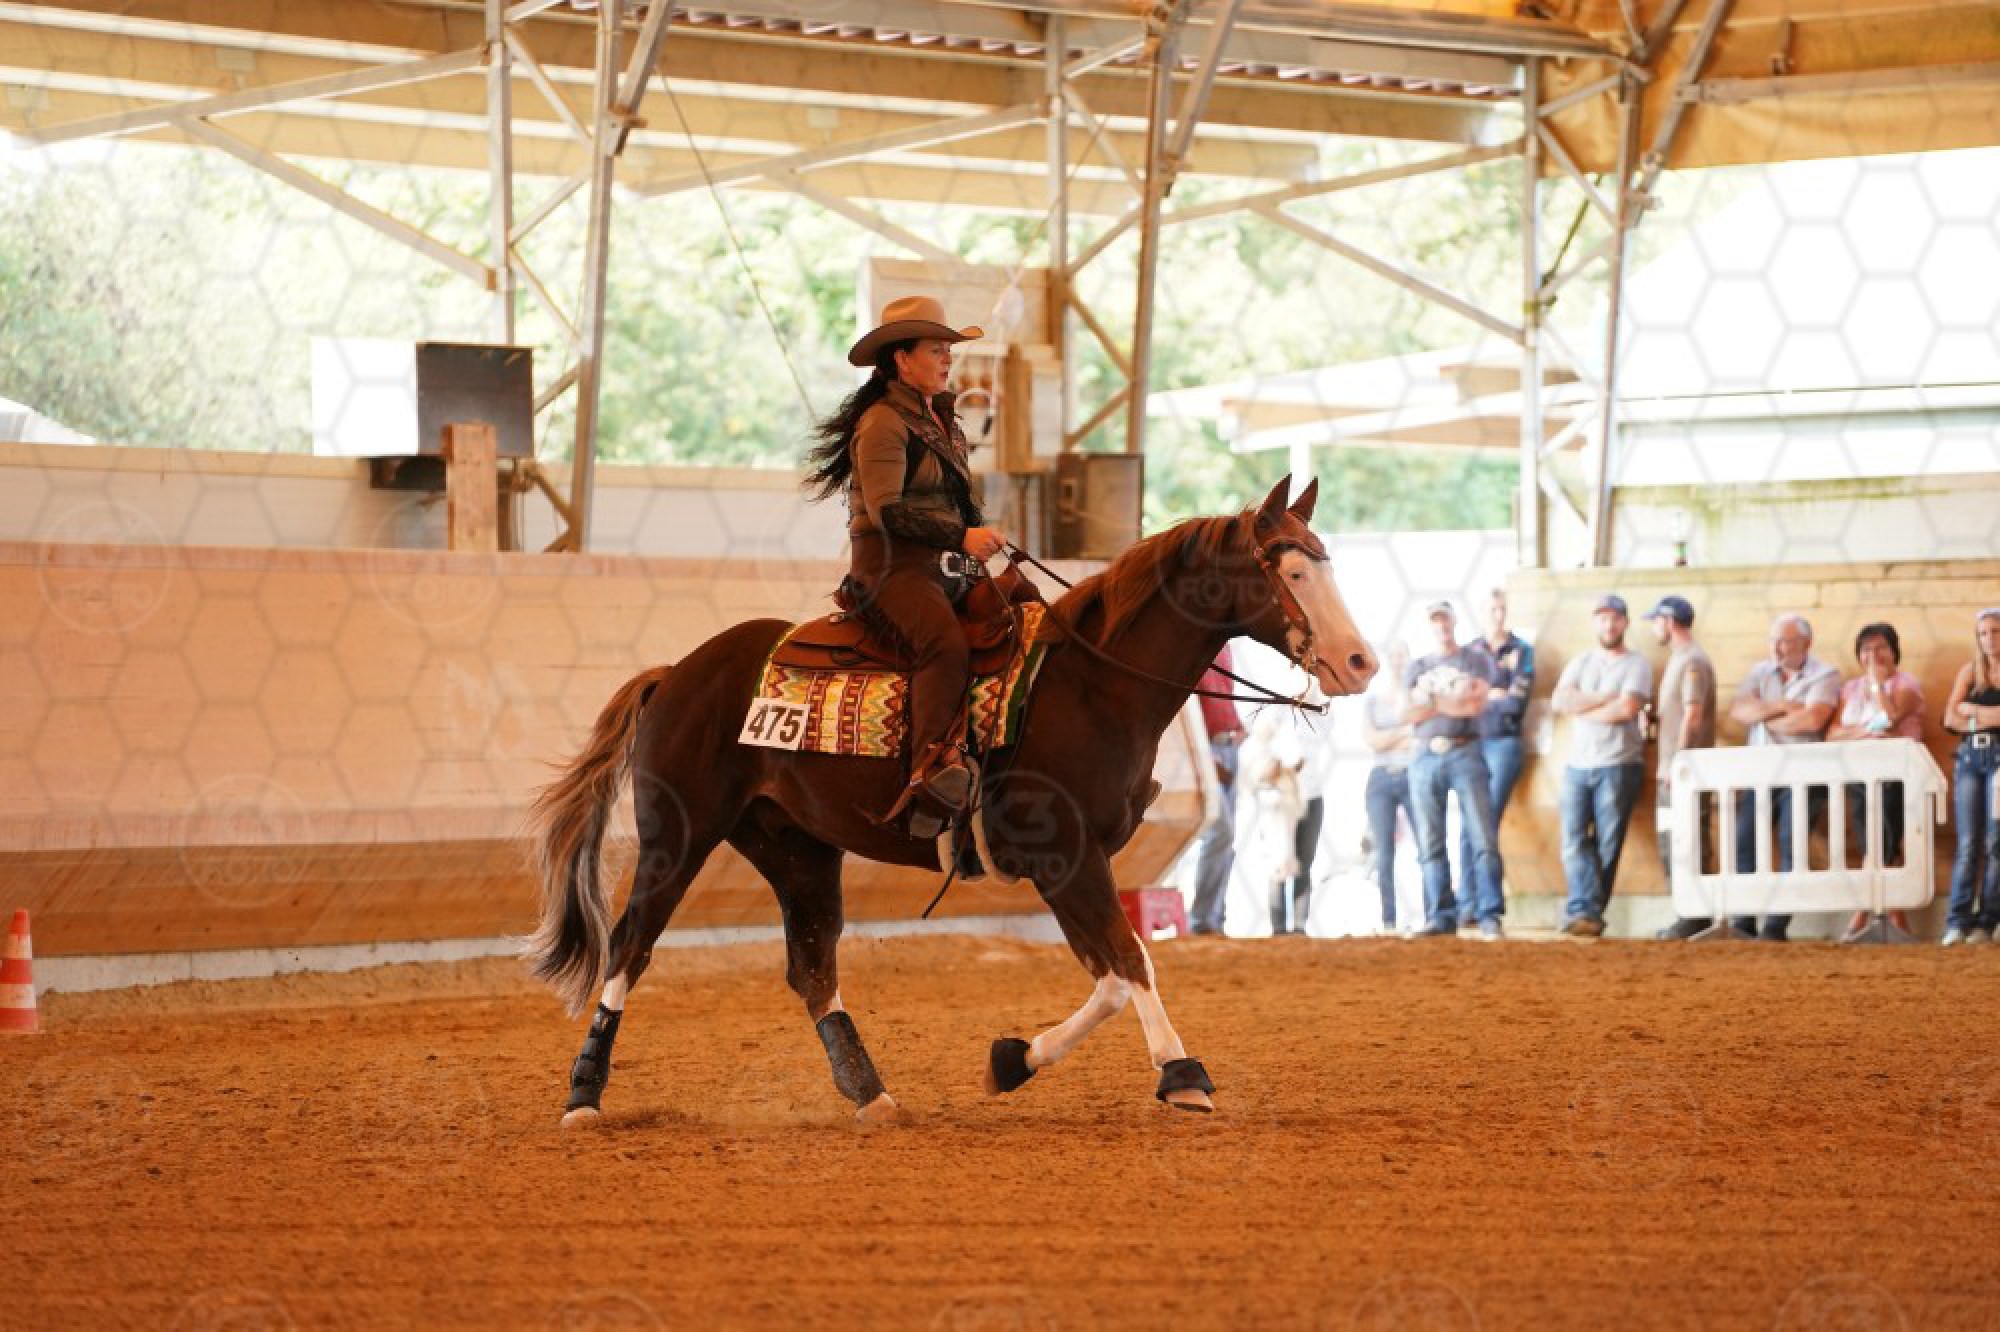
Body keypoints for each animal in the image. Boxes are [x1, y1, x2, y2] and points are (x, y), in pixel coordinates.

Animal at [525, 475, 1377, 1125]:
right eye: (1290, 572)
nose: (1360, 662)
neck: (1094, 685)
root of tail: (676, 671)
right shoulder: (1066, 858)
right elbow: (1129, 964)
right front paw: (1183, 1077)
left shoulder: (1072, 862)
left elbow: (1108, 975)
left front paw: (1012, 1060)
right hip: (680, 834)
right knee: (630, 947)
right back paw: (583, 1098)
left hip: (797, 849)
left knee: (812, 967)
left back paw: (871, 1096)